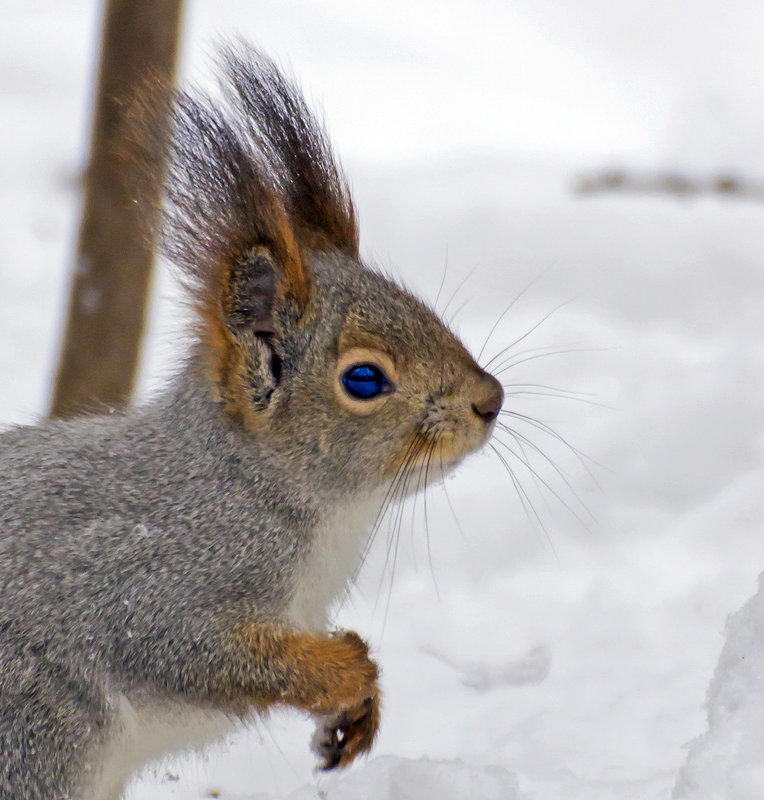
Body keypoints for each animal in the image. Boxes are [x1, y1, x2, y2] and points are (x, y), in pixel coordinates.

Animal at [0, 43, 504, 800]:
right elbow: (190, 650)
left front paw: (358, 712)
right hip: (38, 734)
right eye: (364, 380)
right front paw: (346, 670)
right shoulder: (149, 582)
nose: (490, 400)